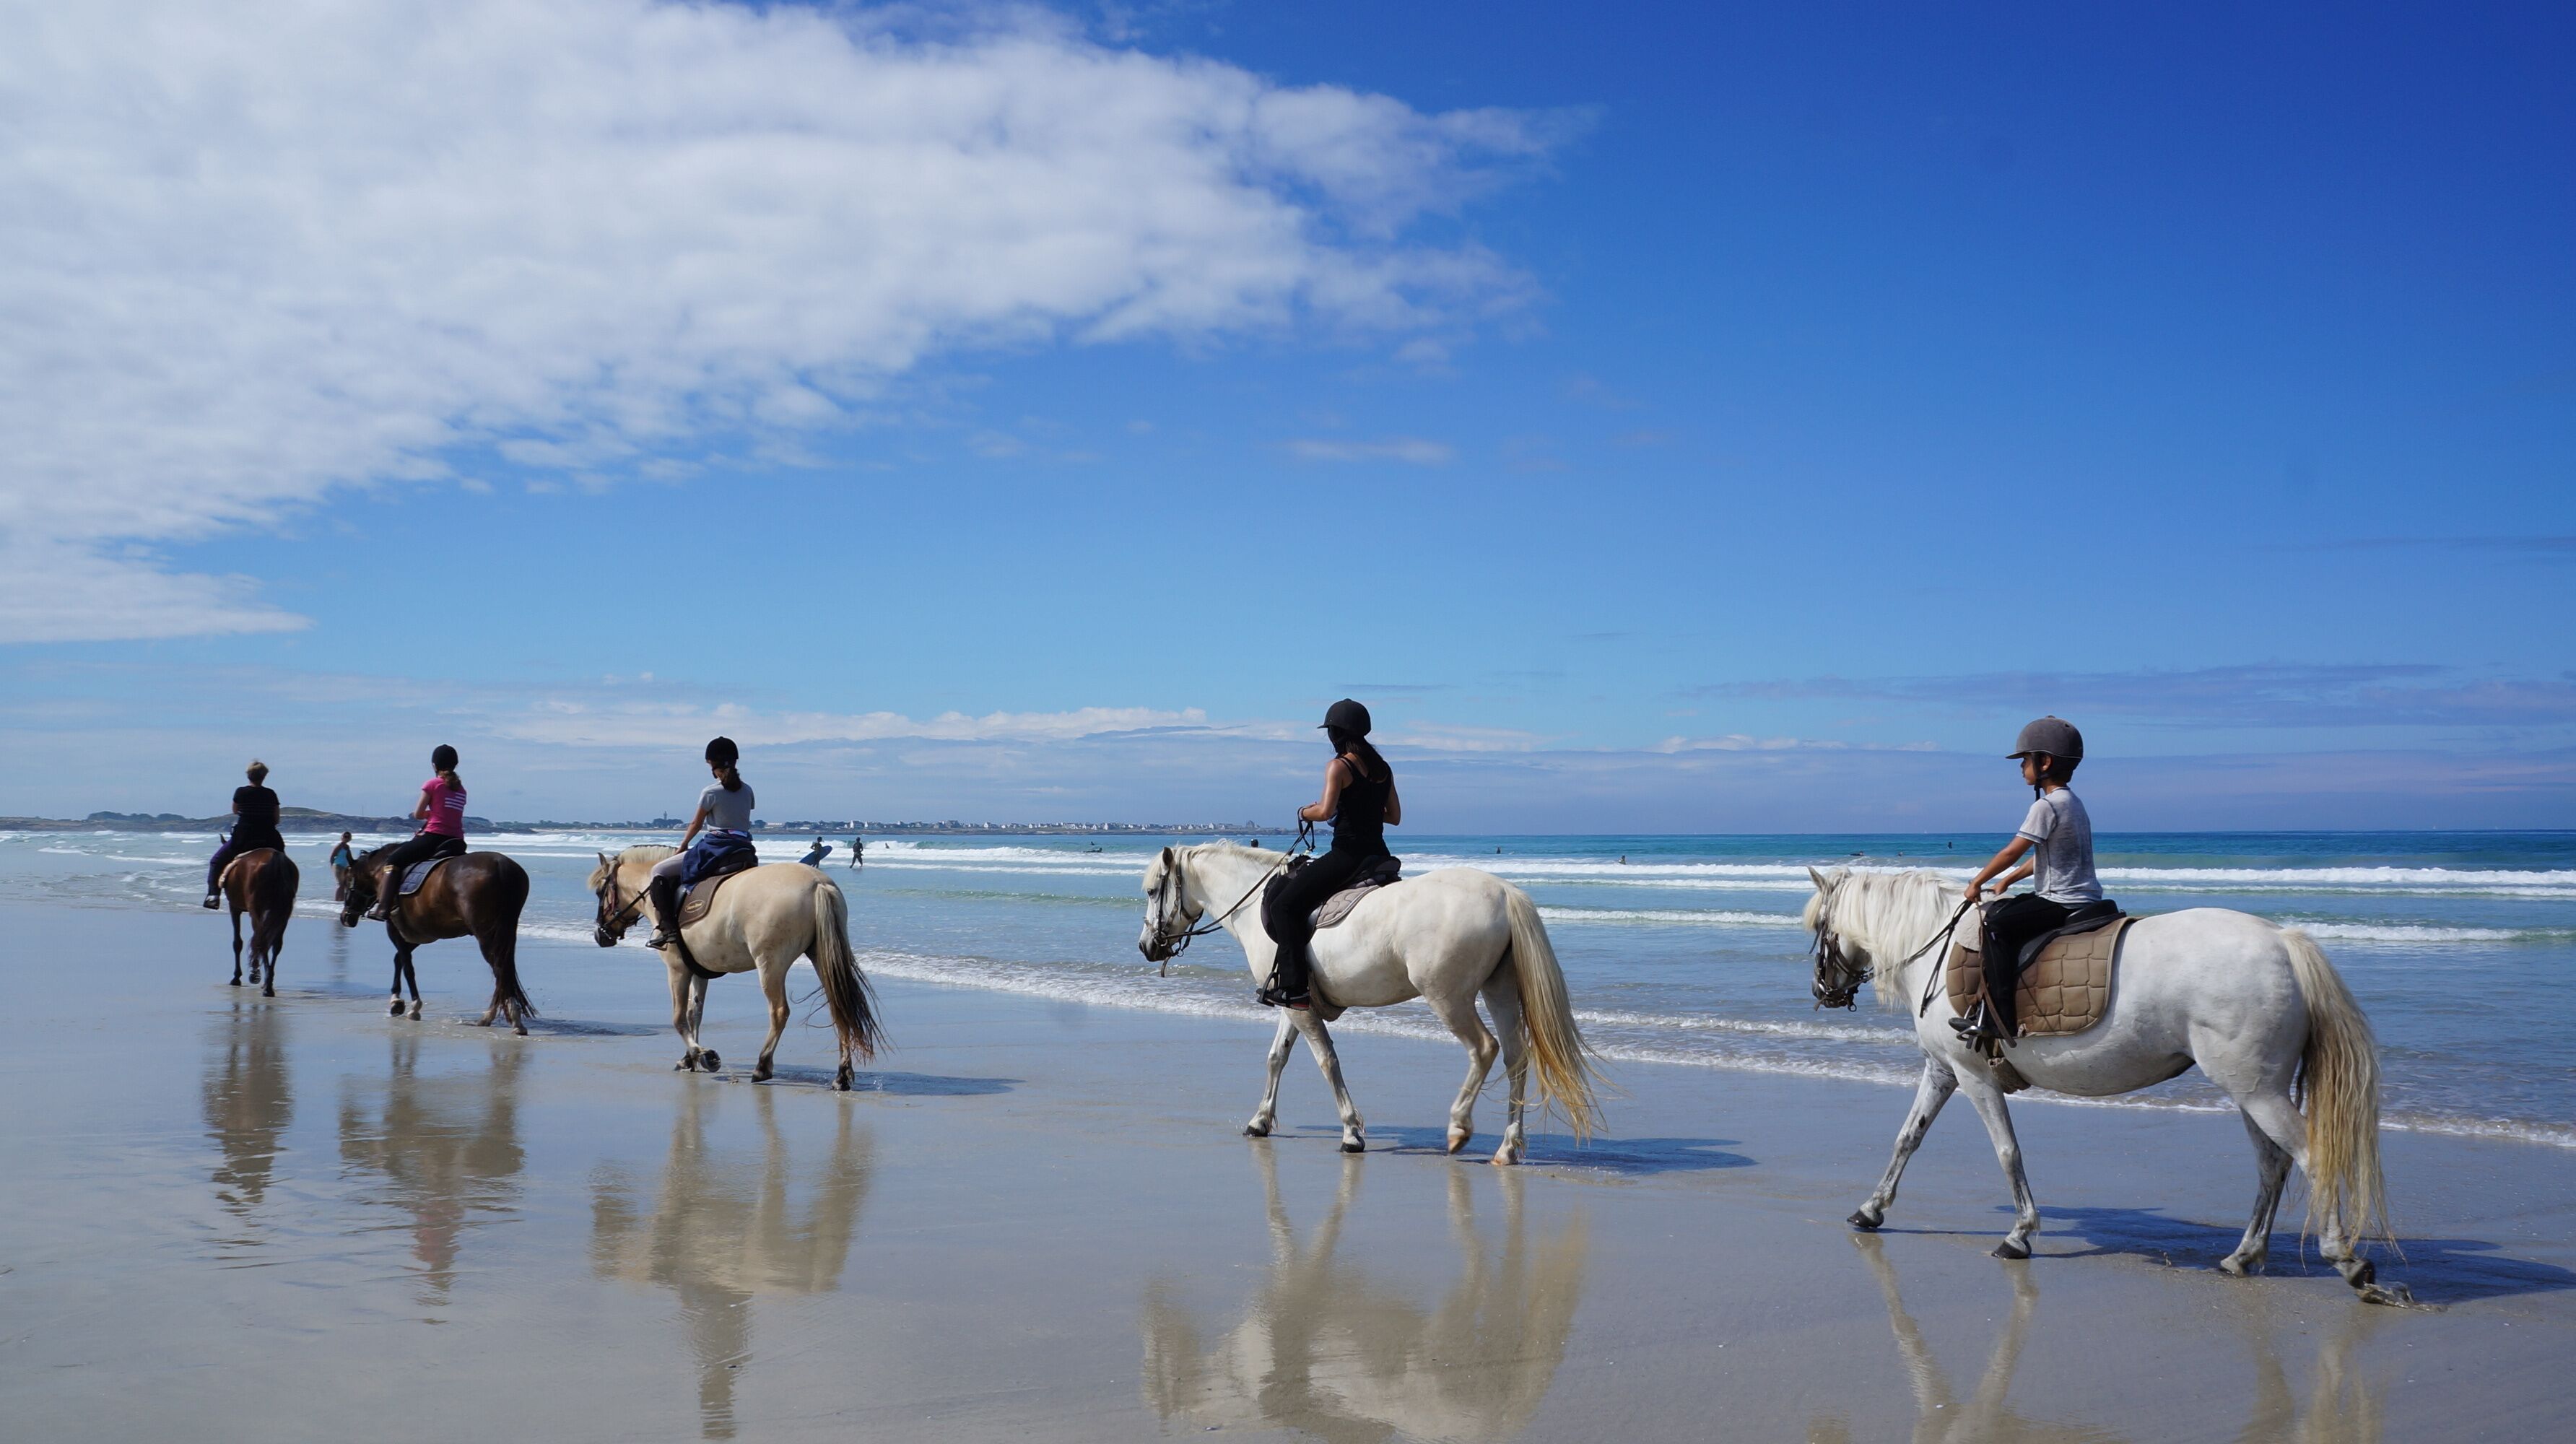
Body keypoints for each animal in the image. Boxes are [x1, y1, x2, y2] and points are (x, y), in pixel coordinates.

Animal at [218, 847, 299, 996]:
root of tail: (276, 857)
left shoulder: (235, 908)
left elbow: (238, 943)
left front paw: (238, 977)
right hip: (283, 914)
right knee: (276, 945)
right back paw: (268, 983)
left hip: (256, 909)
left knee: (262, 941)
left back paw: (264, 985)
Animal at [339, 845, 536, 1035]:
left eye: (348, 879)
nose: (345, 917)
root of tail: (501, 865)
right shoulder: (420, 933)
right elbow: (399, 960)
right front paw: (397, 1002)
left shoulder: (395, 929)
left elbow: (407, 967)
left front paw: (413, 1006)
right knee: (503, 972)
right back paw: (493, 1017)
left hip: (487, 935)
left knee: (500, 970)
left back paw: (508, 1018)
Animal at [588, 846, 885, 1089]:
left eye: (601, 892)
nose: (600, 935)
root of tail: (817, 883)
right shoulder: (699, 971)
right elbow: (695, 1013)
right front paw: (690, 1059)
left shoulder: (677, 969)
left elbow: (678, 1018)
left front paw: (703, 1056)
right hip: (821, 956)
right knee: (839, 1008)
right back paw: (842, 1076)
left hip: (770, 963)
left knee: (779, 1012)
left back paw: (762, 1067)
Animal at [1138, 844, 1601, 1163]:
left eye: (1152, 891)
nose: (1147, 946)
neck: (1256, 905)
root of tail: (1504, 892)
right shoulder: (1294, 1002)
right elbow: (1277, 1058)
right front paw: (1259, 1121)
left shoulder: (1299, 1008)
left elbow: (1327, 1061)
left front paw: (1351, 1134)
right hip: (1499, 988)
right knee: (1516, 1057)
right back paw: (1507, 1148)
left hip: (1448, 996)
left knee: (1484, 1049)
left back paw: (1458, 1128)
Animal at [1803, 866, 2402, 1301]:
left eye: (1820, 930)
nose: (1822, 990)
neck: (1938, 948)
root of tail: (2283, 942)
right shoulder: (1944, 1069)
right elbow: (1908, 1138)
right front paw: (1871, 1210)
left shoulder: (1973, 1076)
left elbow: (2007, 1152)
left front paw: (2020, 1234)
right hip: (2252, 1090)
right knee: (2272, 1165)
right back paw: (2245, 1255)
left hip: (2259, 1091)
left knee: (2311, 1158)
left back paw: (2346, 1261)